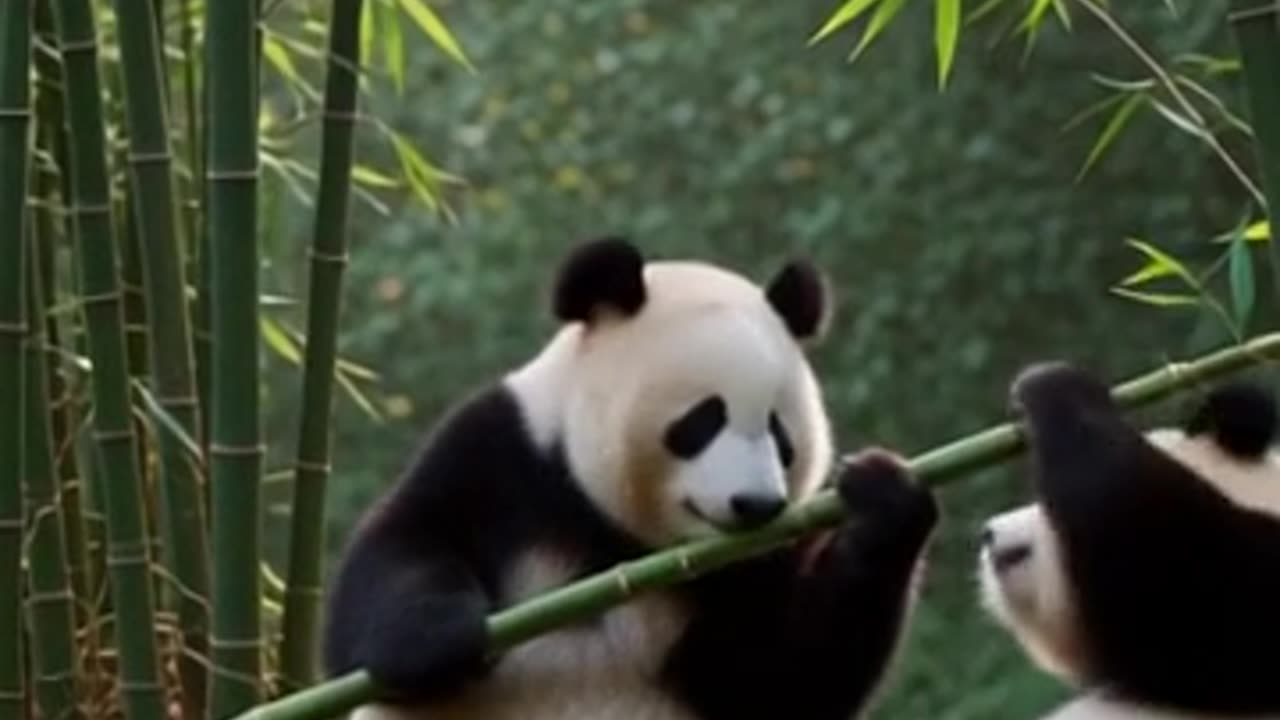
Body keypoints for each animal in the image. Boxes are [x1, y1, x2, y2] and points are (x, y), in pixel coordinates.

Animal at [323, 237, 940, 720]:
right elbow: (408, 539)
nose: (758, 504)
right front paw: (437, 639)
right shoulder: (508, 452)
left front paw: (886, 499)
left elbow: (781, 678)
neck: (621, 539)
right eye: (703, 420)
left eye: (780, 433)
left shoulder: (763, 559)